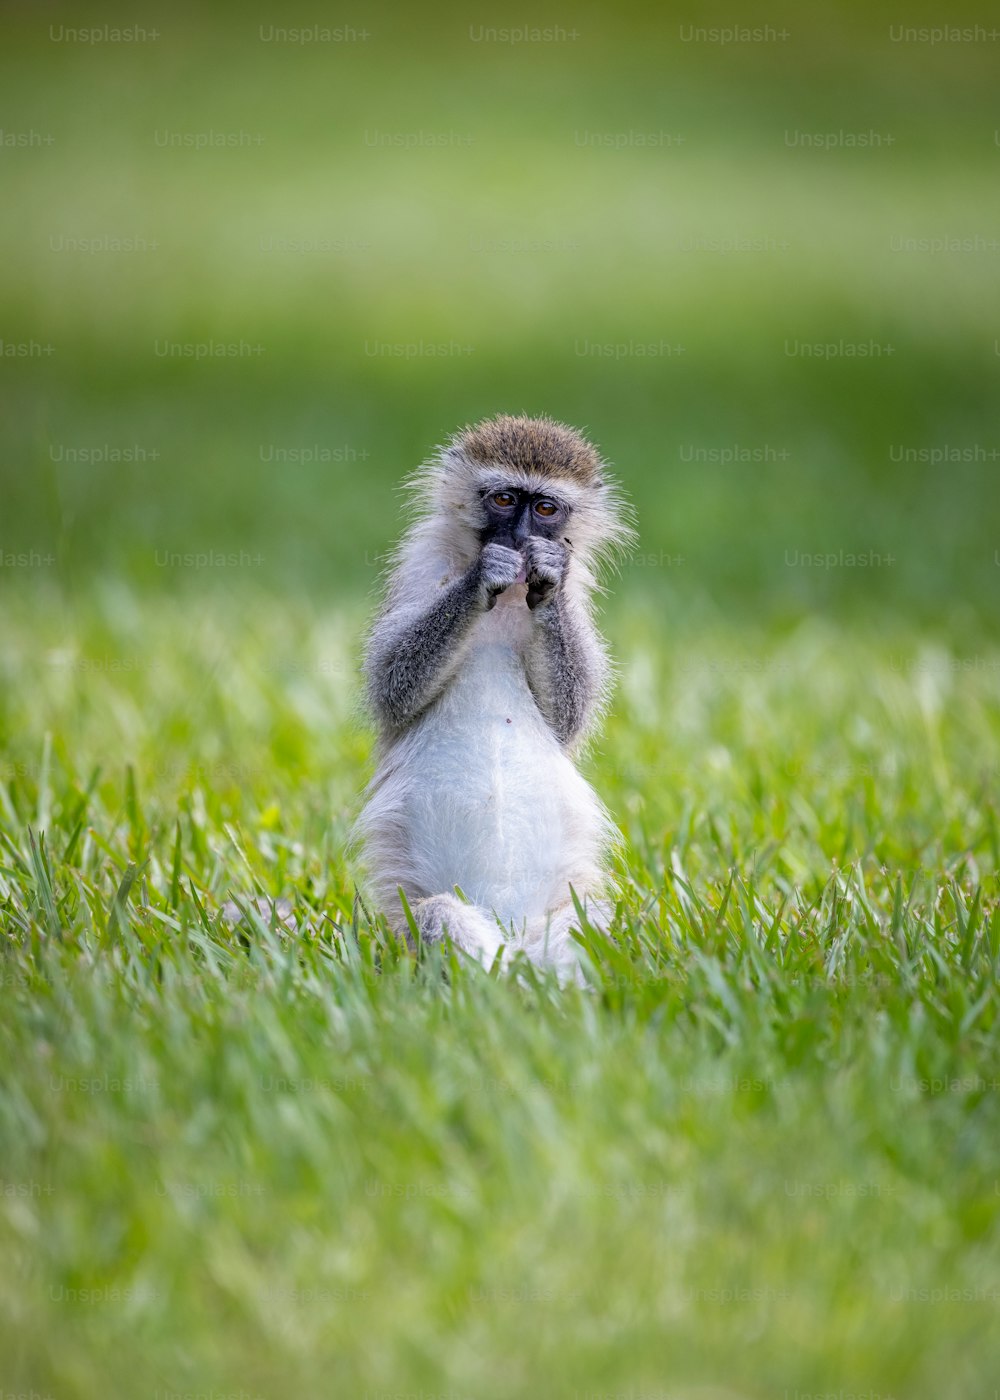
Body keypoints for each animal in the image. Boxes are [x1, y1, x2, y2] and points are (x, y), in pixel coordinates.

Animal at [354, 414, 627, 980]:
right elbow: (392, 688)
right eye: (503, 499)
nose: (520, 537)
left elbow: (567, 718)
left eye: (545, 508)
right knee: (439, 915)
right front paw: (484, 573)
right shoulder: (421, 563)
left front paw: (548, 574)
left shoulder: (578, 587)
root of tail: (516, 947)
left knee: (585, 922)